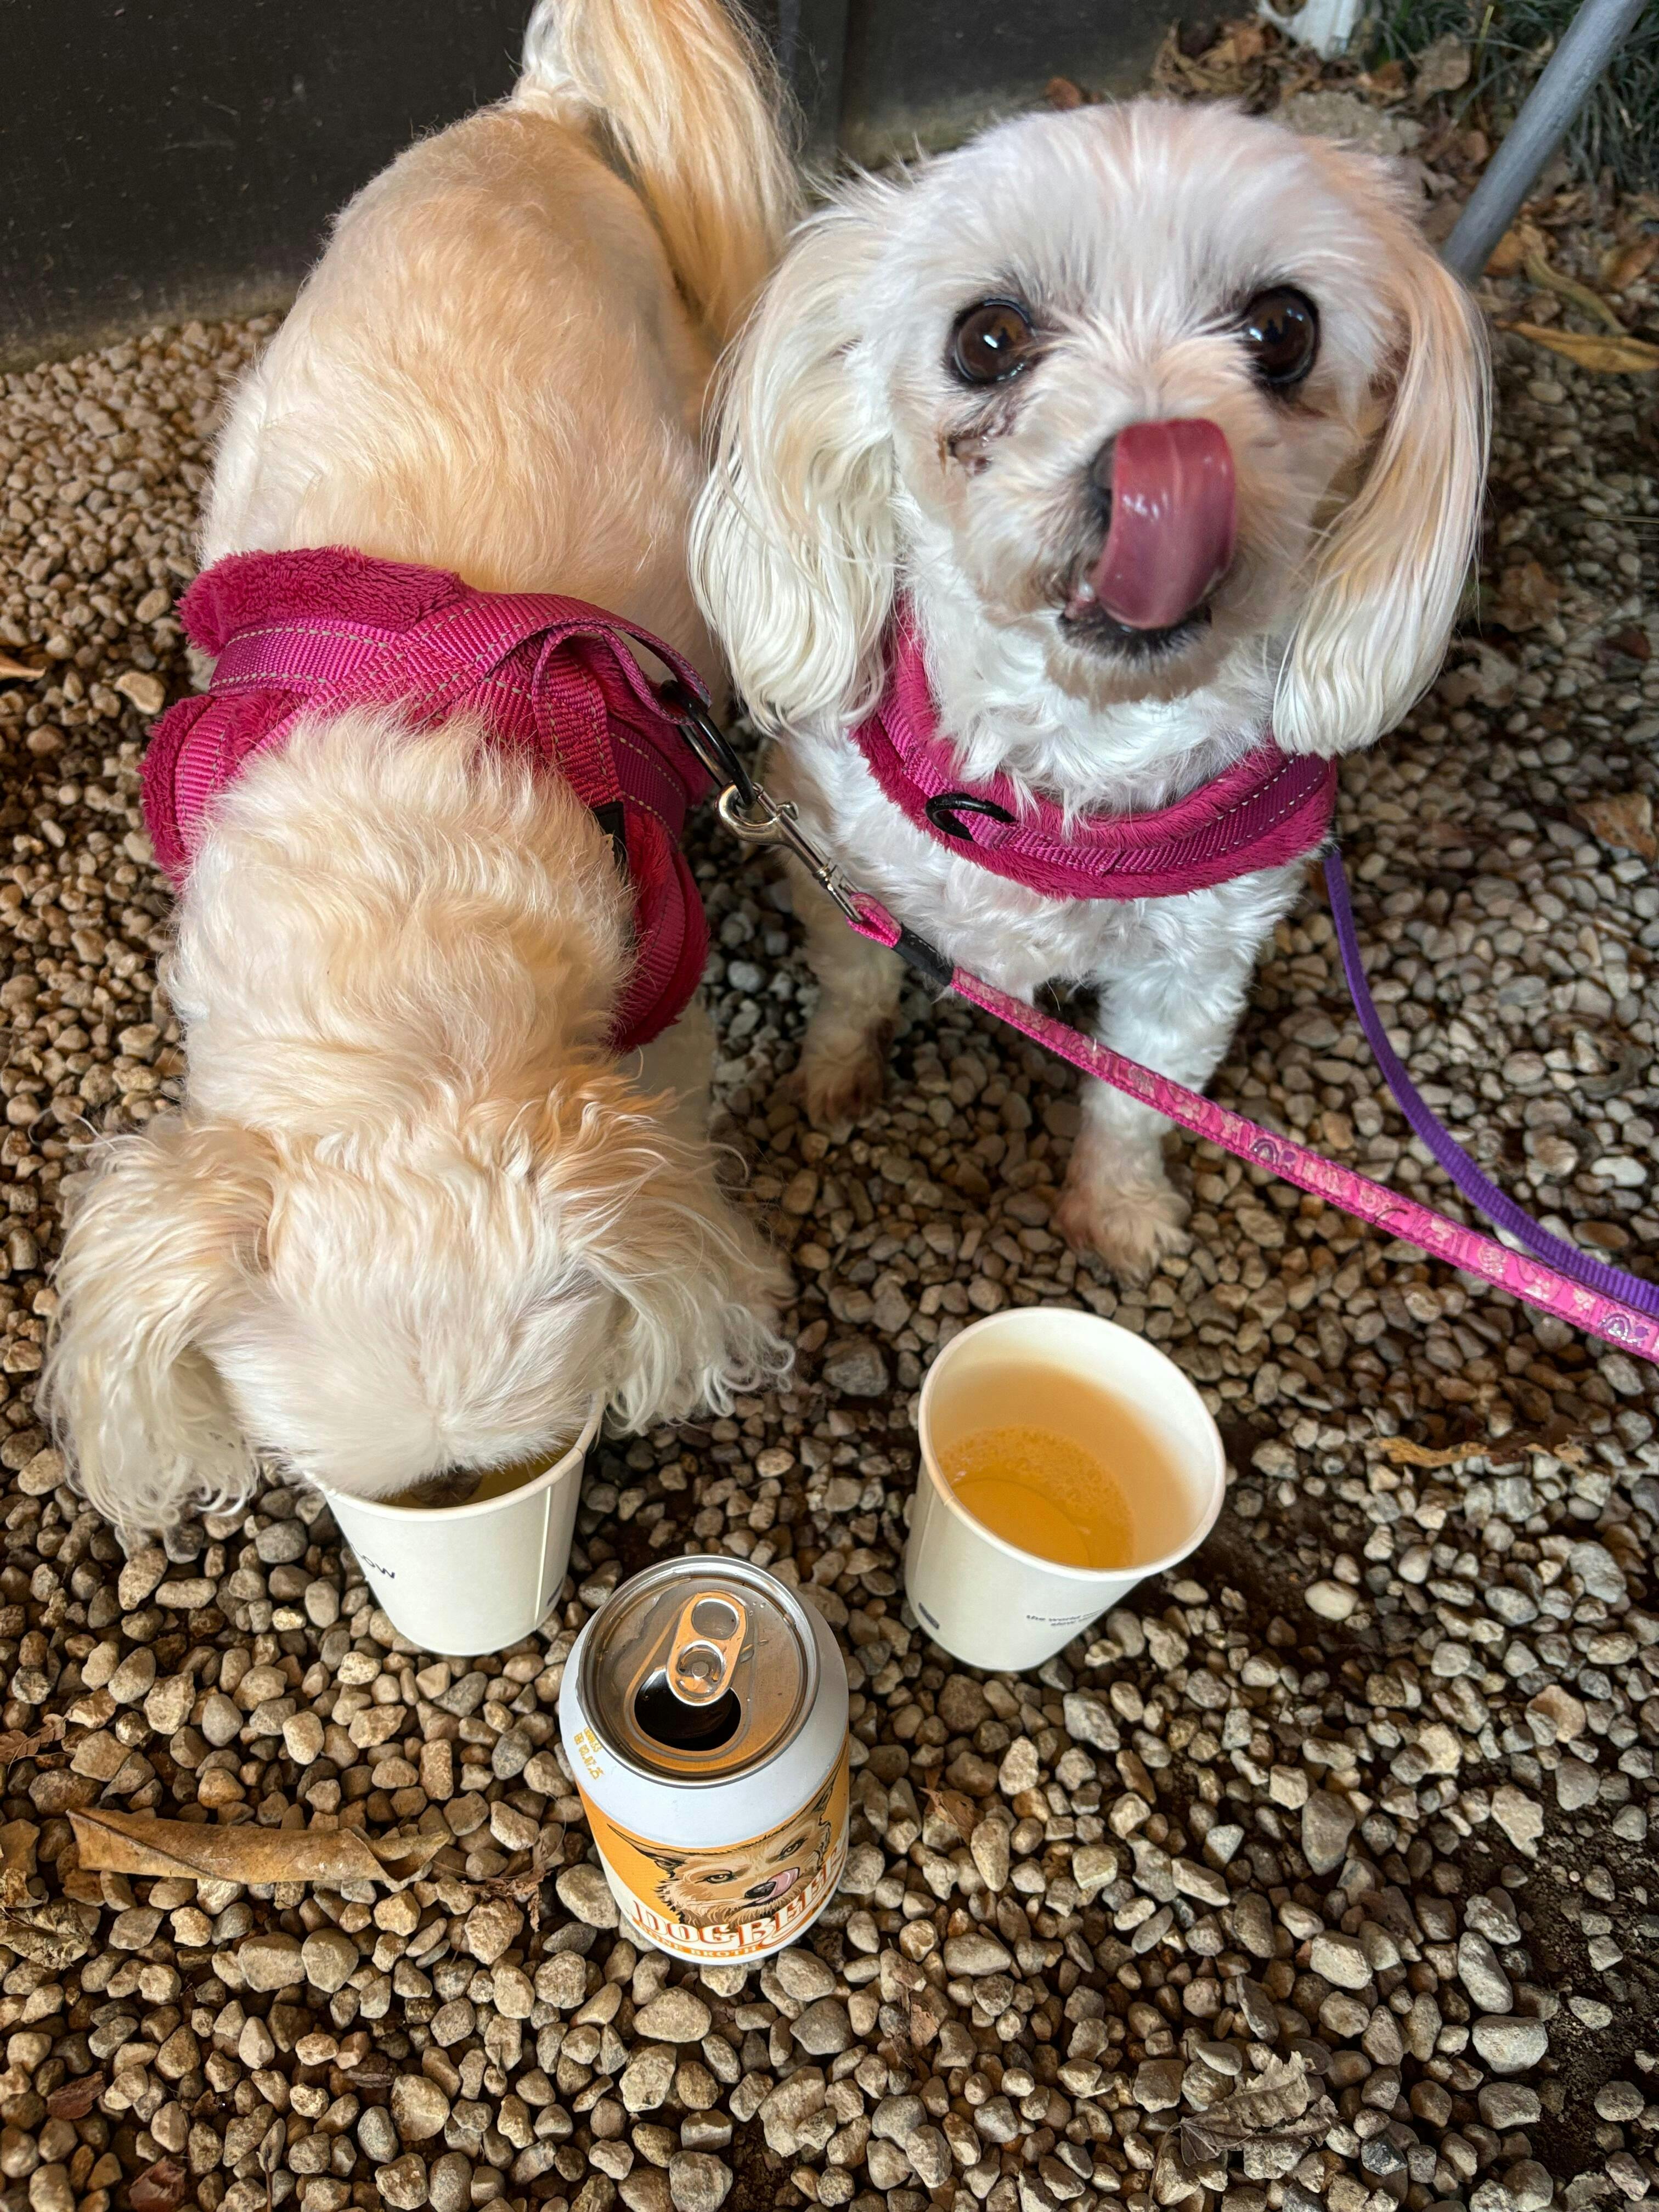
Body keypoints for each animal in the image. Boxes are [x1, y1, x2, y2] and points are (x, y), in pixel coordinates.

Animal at [693, 97, 1487, 1280]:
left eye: (1282, 328)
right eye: (986, 338)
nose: (1161, 468)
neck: (1072, 756)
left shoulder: (1197, 962)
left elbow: (1139, 1097)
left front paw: (1118, 1212)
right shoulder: (838, 862)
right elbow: (856, 983)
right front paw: (833, 1078)